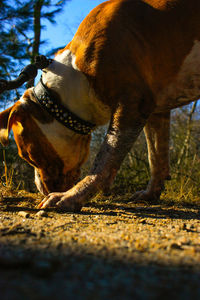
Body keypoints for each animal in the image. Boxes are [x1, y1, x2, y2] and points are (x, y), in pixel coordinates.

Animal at [0, 0, 200, 211]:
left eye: (28, 156)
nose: (41, 189)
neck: (75, 75)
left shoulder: (131, 106)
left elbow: (105, 159)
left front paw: (73, 196)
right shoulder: (156, 111)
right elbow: (155, 155)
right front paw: (151, 192)